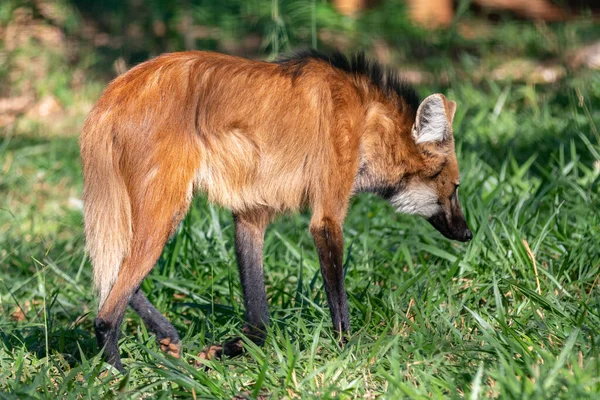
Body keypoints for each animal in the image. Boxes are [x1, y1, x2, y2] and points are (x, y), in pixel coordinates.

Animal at [81, 50, 474, 372]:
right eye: (455, 188)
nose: (468, 233)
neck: (369, 119)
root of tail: (111, 95)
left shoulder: (250, 215)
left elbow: (259, 320)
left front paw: (231, 350)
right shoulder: (326, 217)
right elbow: (337, 298)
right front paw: (348, 351)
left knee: (114, 277)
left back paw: (166, 337)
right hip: (167, 208)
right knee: (107, 309)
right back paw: (120, 373)